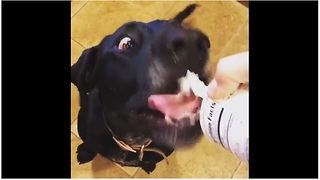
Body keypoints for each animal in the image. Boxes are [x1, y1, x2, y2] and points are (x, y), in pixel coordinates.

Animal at [72, 3, 211, 174]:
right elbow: (89, 146)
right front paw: (85, 152)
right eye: (126, 43)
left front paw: (148, 165)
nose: (195, 42)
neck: (131, 141)